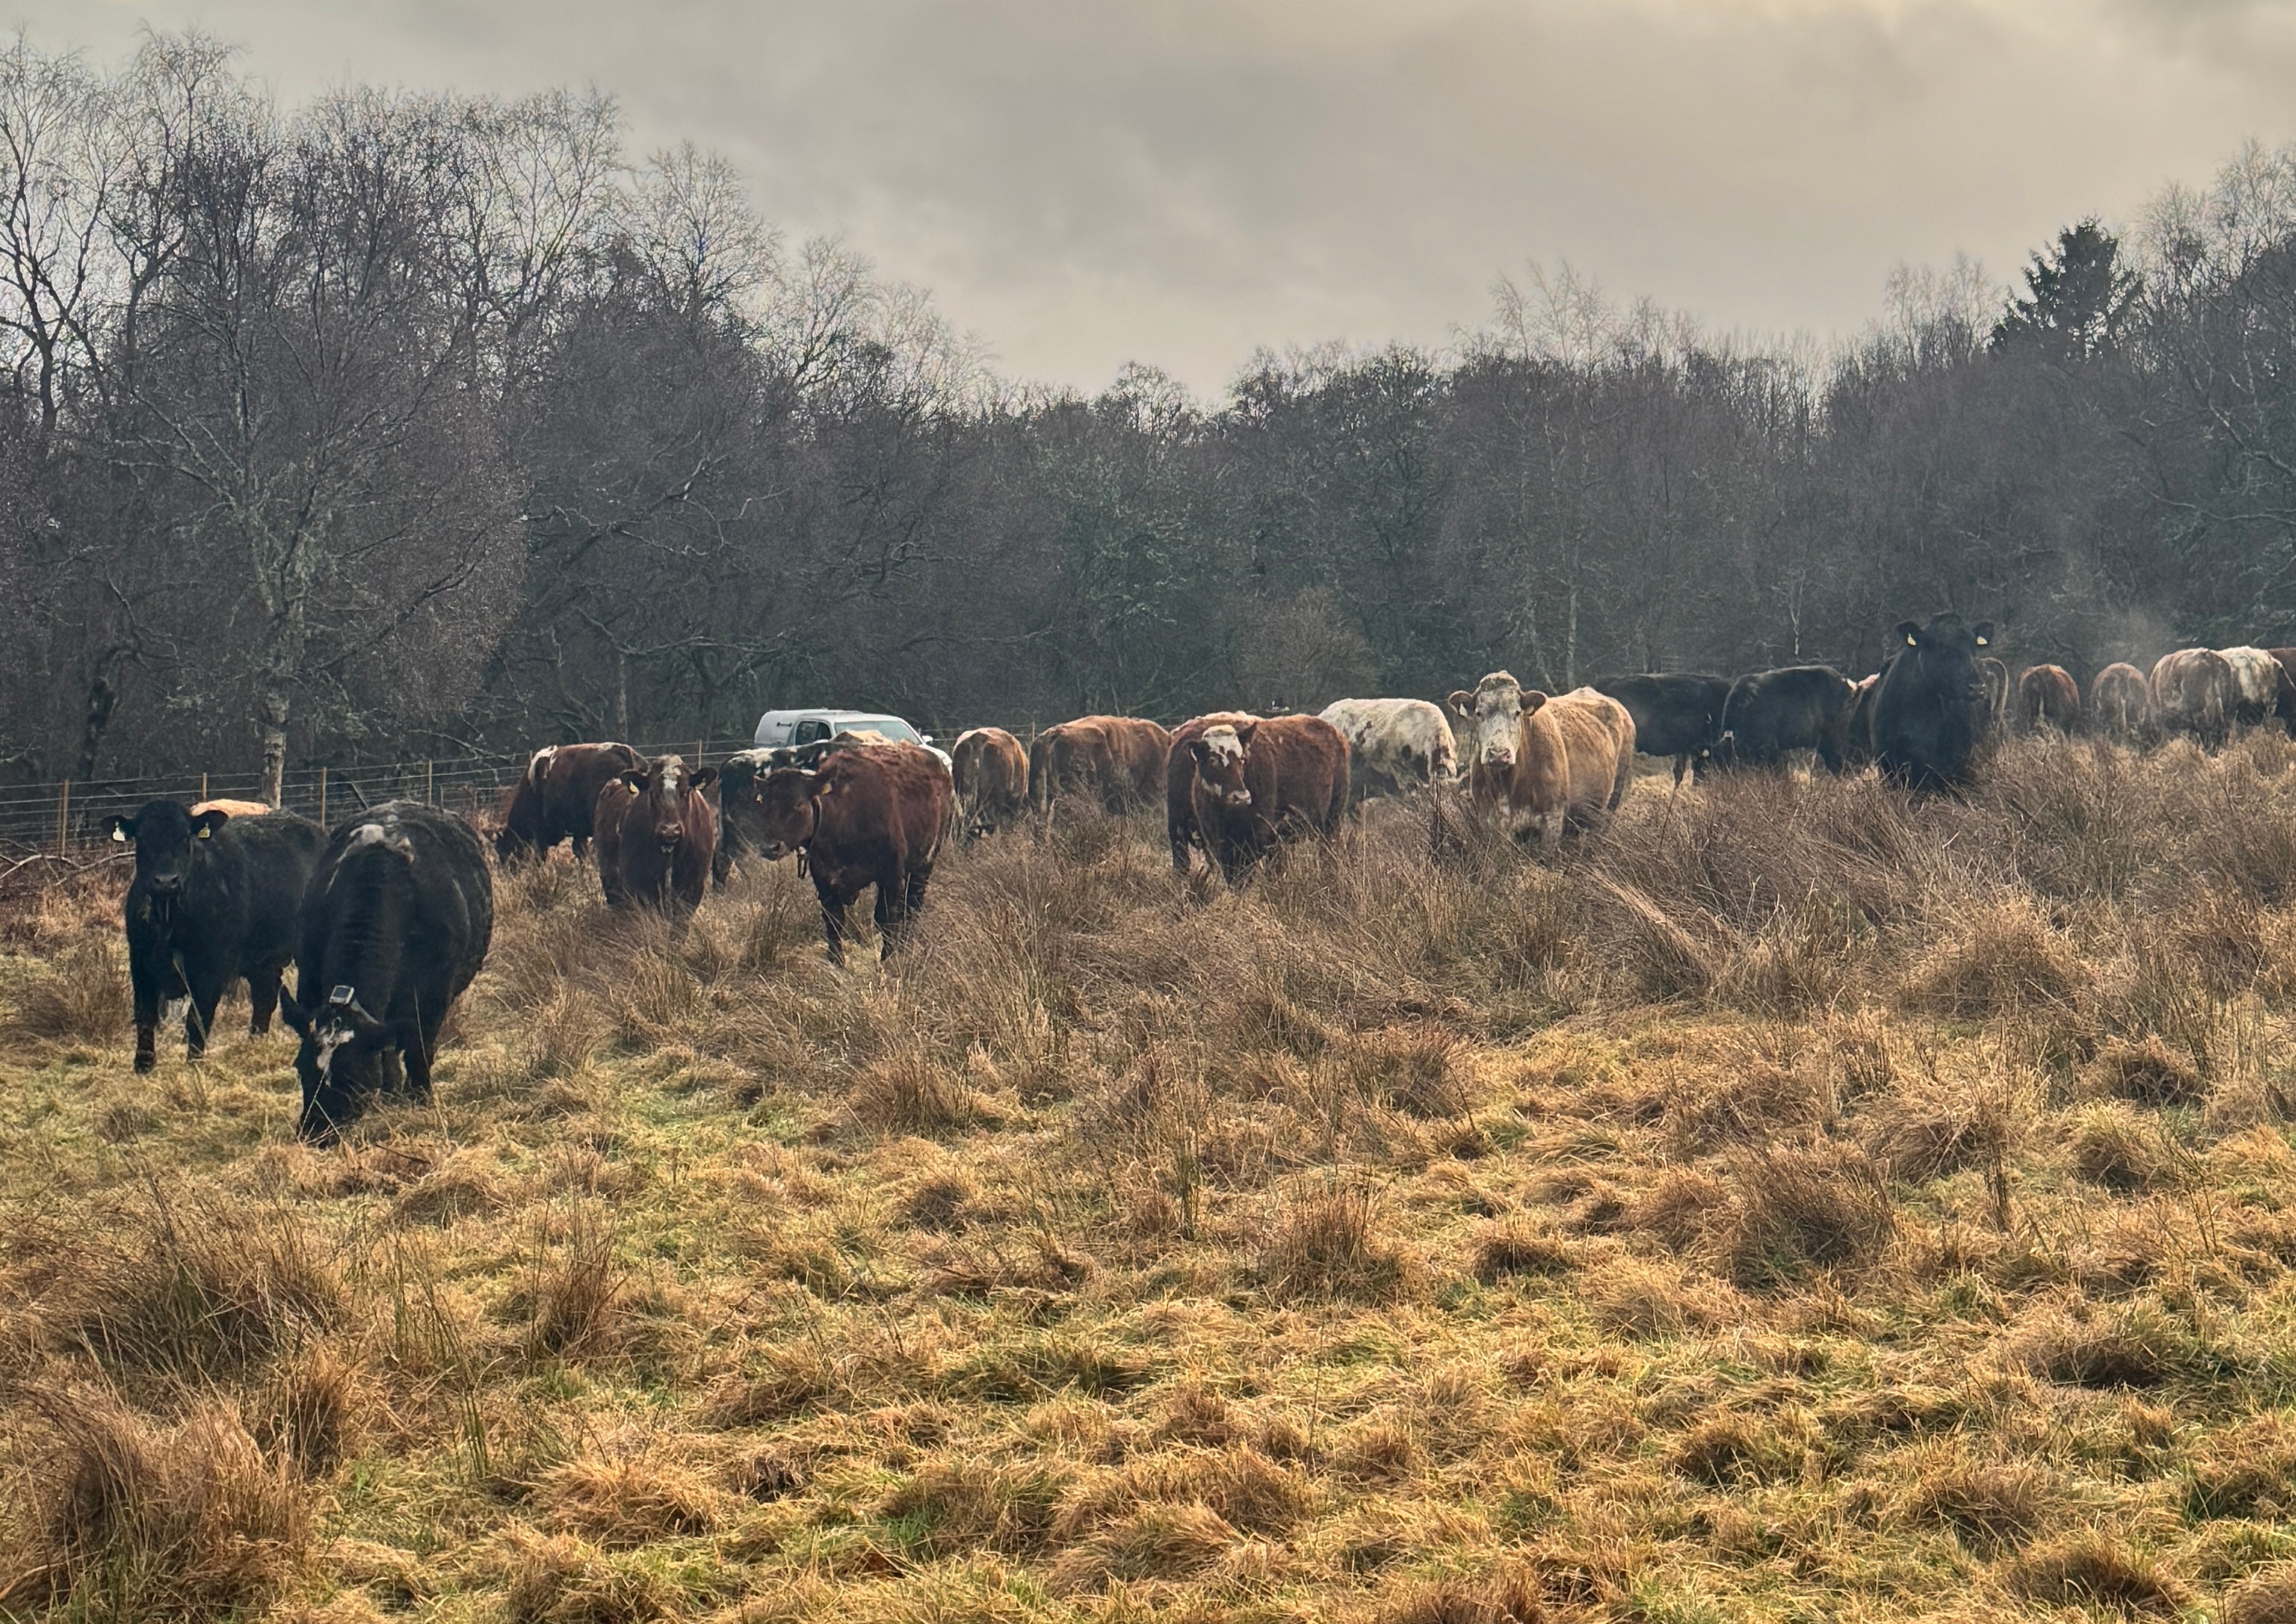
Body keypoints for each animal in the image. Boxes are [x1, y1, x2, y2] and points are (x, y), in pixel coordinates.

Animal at [104, 799, 328, 1074]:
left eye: (185, 837)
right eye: (143, 838)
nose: (166, 881)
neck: (169, 920)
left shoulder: (211, 967)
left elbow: (198, 1016)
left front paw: (194, 1063)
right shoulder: (140, 961)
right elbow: (145, 1015)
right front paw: (143, 1065)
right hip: (262, 957)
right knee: (265, 995)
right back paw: (254, 1043)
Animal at [279, 802, 492, 1144]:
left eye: (352, 1078)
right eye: (301, 1068)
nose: (315, 1133)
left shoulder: (435, 994)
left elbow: (420, 1050)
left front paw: (420, 1098)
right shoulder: (308, 980)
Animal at [748, 742, 953, 965]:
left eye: (798, 804)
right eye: (765, 806)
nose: (770, 847)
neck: (843, 817)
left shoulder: (891, 875)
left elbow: (886, 918)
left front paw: (888, 958)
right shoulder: (824, 880)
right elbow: (834, 920)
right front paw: (836, 960)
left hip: (924, 864)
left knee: (913, 906)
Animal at [1184, 716, 1351, 881]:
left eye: (1242, 759)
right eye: (1213, 760)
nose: (1242, 797)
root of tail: (1335, 732)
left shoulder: (1264, 840)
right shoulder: (1221, 849)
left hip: (1332, 822)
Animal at [1446, 673, 1635, 851]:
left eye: (1517, 713)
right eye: (1479, 713)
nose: (1499, 754)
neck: (1507, 787)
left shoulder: (1552, 820)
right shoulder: (1489, 822)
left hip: (1610, 805)